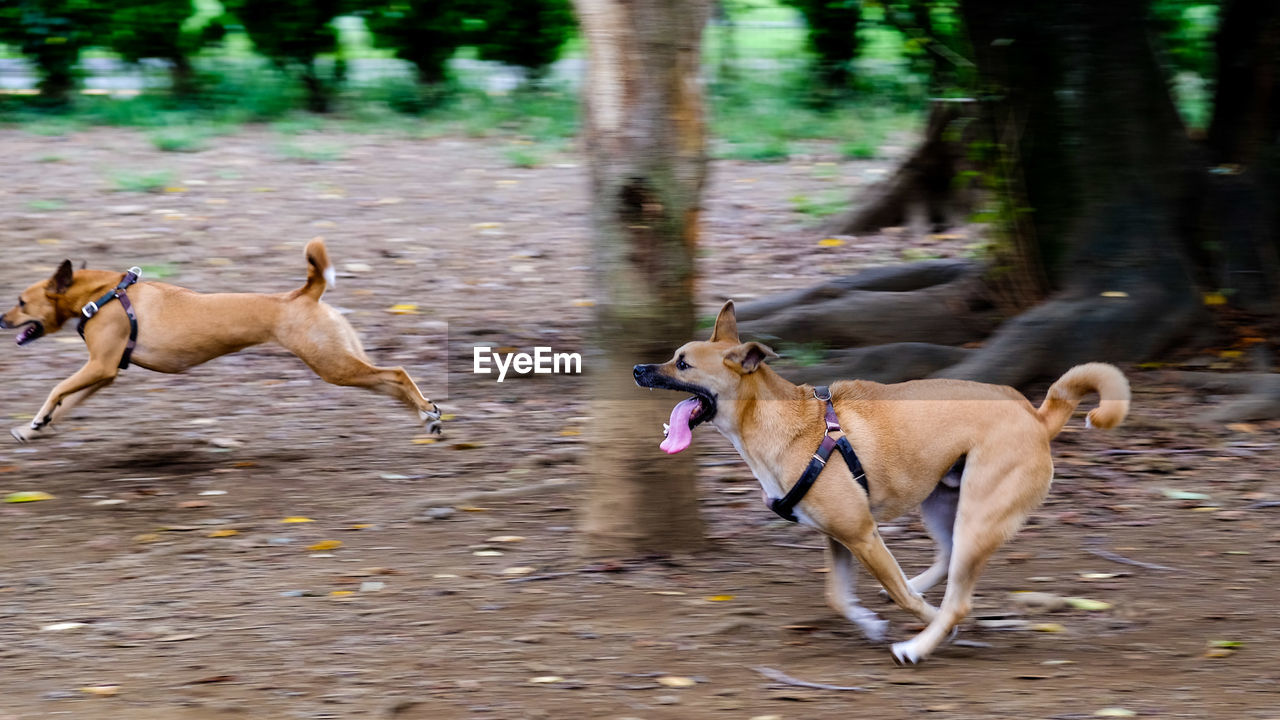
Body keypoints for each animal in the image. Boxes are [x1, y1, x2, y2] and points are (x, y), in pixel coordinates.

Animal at [1, 238, 440, 443]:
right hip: (342, 361)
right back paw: (426, 418)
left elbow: (56, 389)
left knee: (397, 373)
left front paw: (37, 420)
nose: (0, 319)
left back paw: (427, 411)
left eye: (21, 302)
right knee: (390, 383)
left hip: (333, 365)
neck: (104, 294)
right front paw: (33, 428)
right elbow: (67, 403)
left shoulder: (99, 366)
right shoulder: (104, 374)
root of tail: (304, 294)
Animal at [632, 297, 1131, 661]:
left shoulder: (862, 534)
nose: (638, 370)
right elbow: (837, 596)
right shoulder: (840, 537)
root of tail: (1036, 416)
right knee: (947, 558)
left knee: (958, 598)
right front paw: (871, 620)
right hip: (942, 503)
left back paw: (919, 643)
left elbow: (906, 599)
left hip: (978, 511)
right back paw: (921, 590)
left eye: (682, 364)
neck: (784, 423)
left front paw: (927, 621)